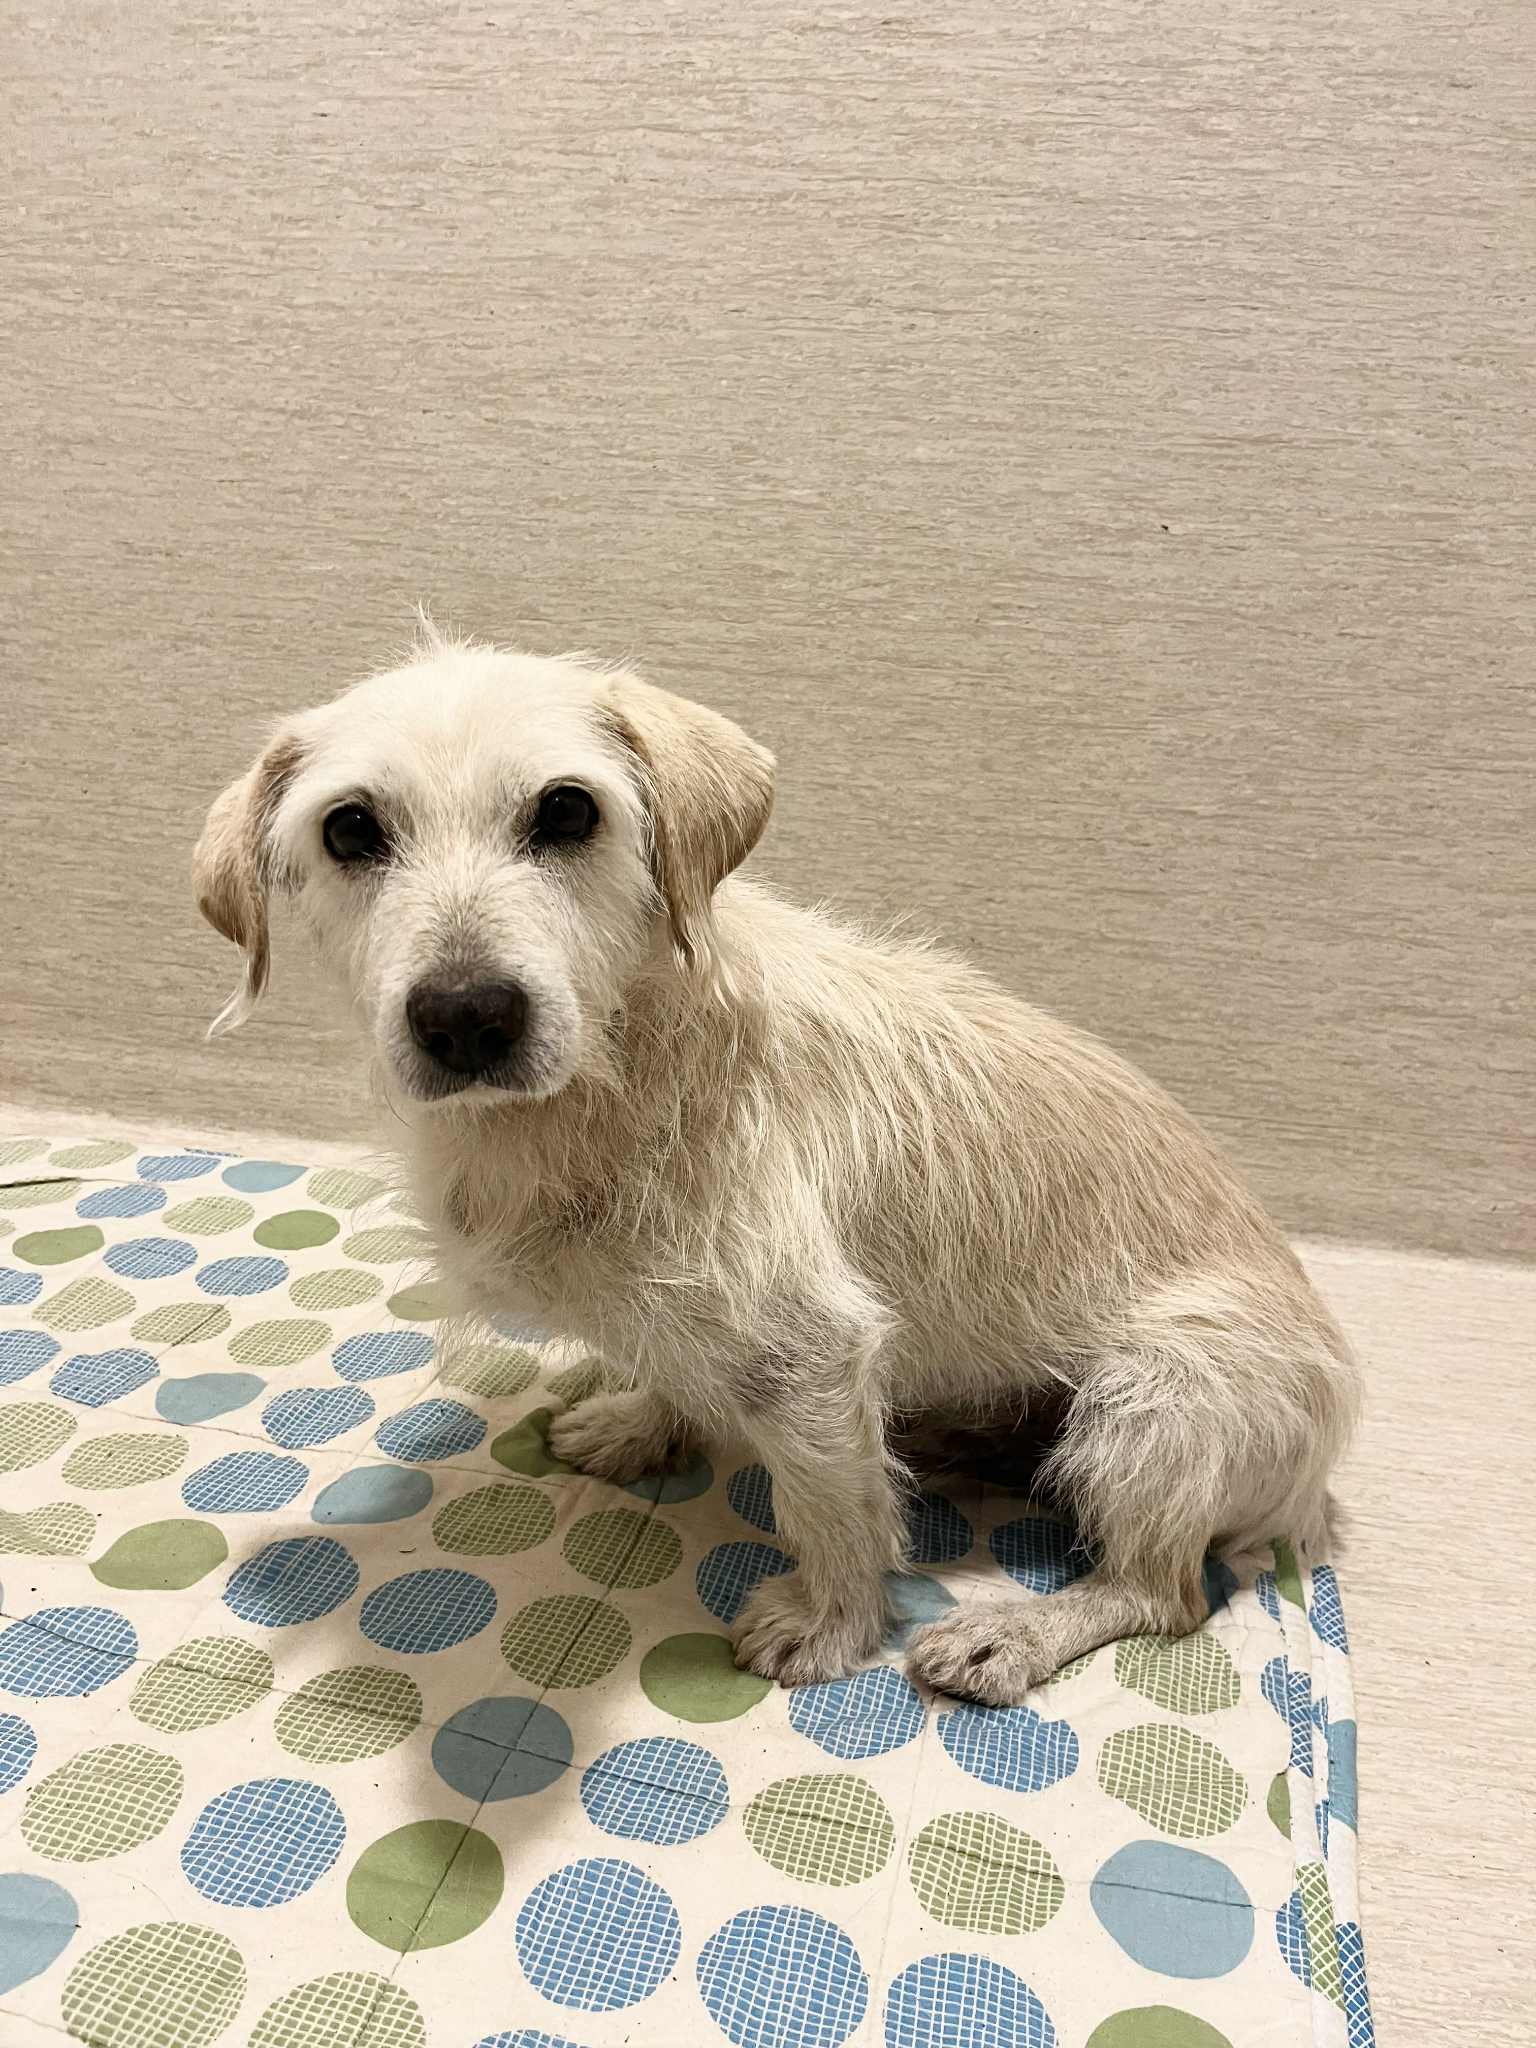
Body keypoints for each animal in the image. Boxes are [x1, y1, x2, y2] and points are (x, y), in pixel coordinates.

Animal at [193, 624, 1359, 1704]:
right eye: (350, 827)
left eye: (567, 810)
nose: (466, 1015)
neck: (616, 1071)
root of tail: (1315, 1482)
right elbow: (677, 1368)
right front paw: (642, 1423)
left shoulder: (811, 1350)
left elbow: (832, 1506)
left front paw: (830, 1626)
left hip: (1155, 1408)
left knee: (1165, 1592)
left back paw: (1012, 1633)